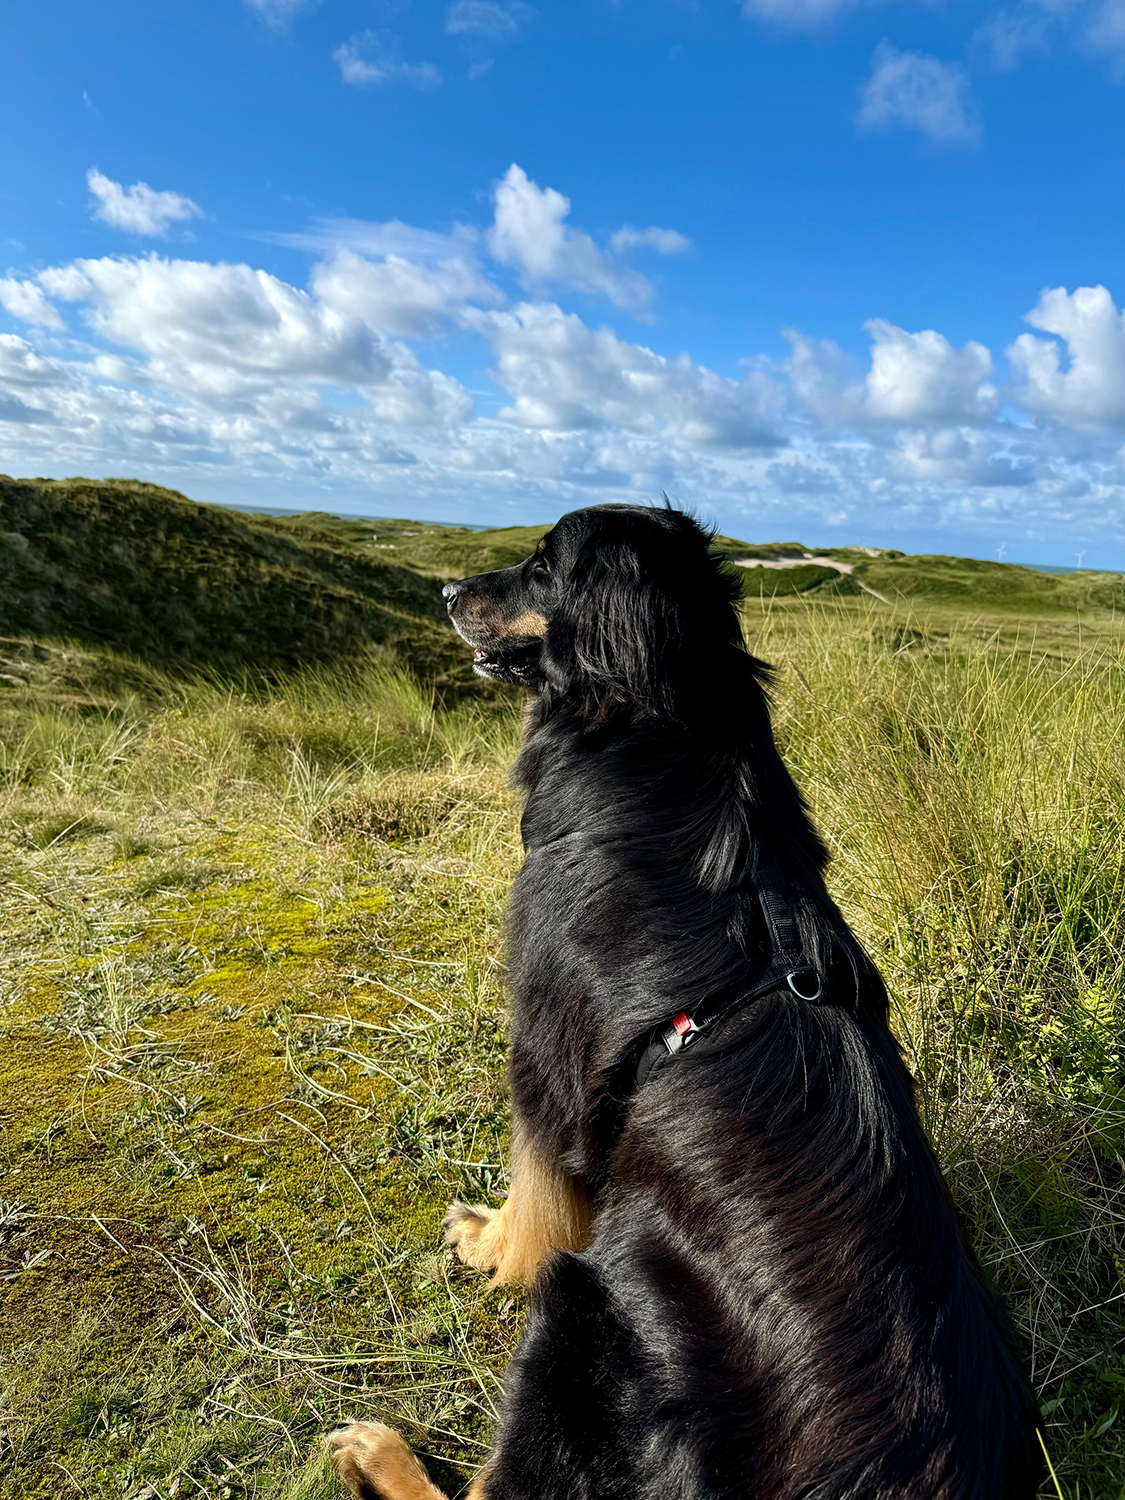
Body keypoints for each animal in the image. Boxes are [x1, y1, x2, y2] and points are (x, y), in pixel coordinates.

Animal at [330, 503, 1041, 1500]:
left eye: (542, 564)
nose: (444, 589)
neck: (655, 723)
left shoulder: (545, 1053)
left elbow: (534, 1193)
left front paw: (490, 1242)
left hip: (585, 1315)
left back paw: (380, 1454)